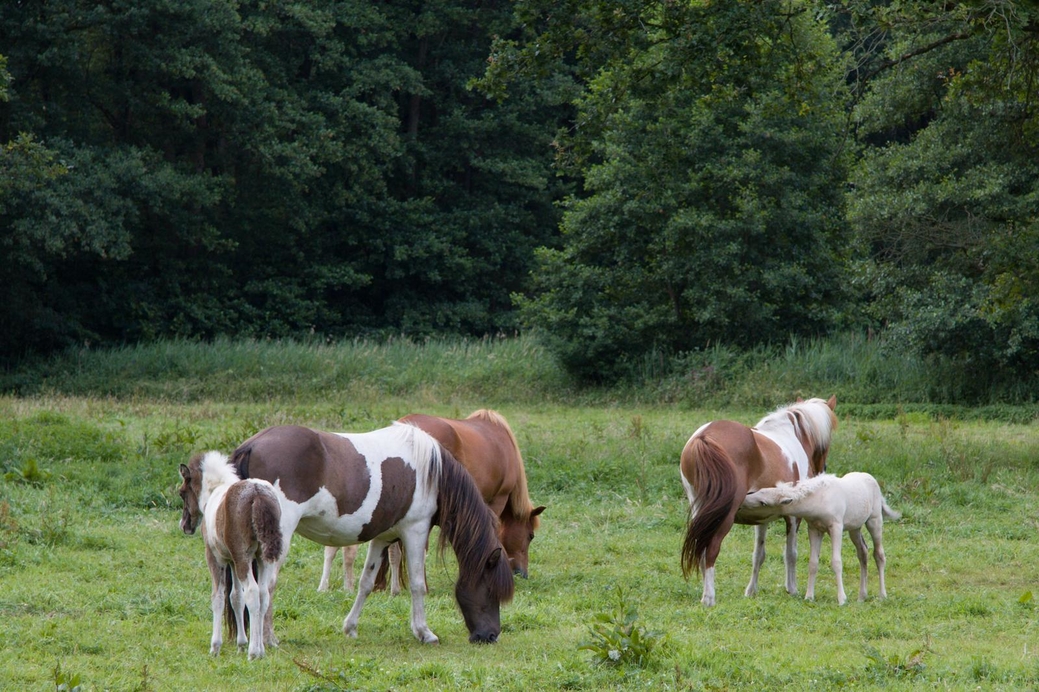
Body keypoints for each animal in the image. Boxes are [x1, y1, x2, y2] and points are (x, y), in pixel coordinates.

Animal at [177, 446, 282, 656]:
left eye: (182, 493)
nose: (185, 525)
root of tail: (257, 493)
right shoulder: (232, 561)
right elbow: (235, 598)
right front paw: (241, 643)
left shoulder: (216, 558)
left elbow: (218, 597)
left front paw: (215, 646)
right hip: (263, 558)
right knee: (263, 594)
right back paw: (260, 649)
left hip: (244, 558)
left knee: (252, 593)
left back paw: (254, 652)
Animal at [231, 419, 515, 640]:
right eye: (491, 590)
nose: (490, 635)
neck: (433, 474)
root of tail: (253, 444)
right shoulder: (415, 532)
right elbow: (417, 583)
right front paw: (424, 632)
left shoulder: (383, 538)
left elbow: (366, 583)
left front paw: (350, 627)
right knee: (267, 586)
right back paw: (268, 639)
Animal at [677, 392, 839, 602]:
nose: (822, 469)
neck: (793, 435)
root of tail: (705, 437)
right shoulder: (794, 516)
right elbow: (791, 553)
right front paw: (792, 588)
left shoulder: (762, 515)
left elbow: (758, 554)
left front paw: (751, 590)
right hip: (723, 517)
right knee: (711, 549)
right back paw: (709, 598)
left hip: (702, 511)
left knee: (702, 548)